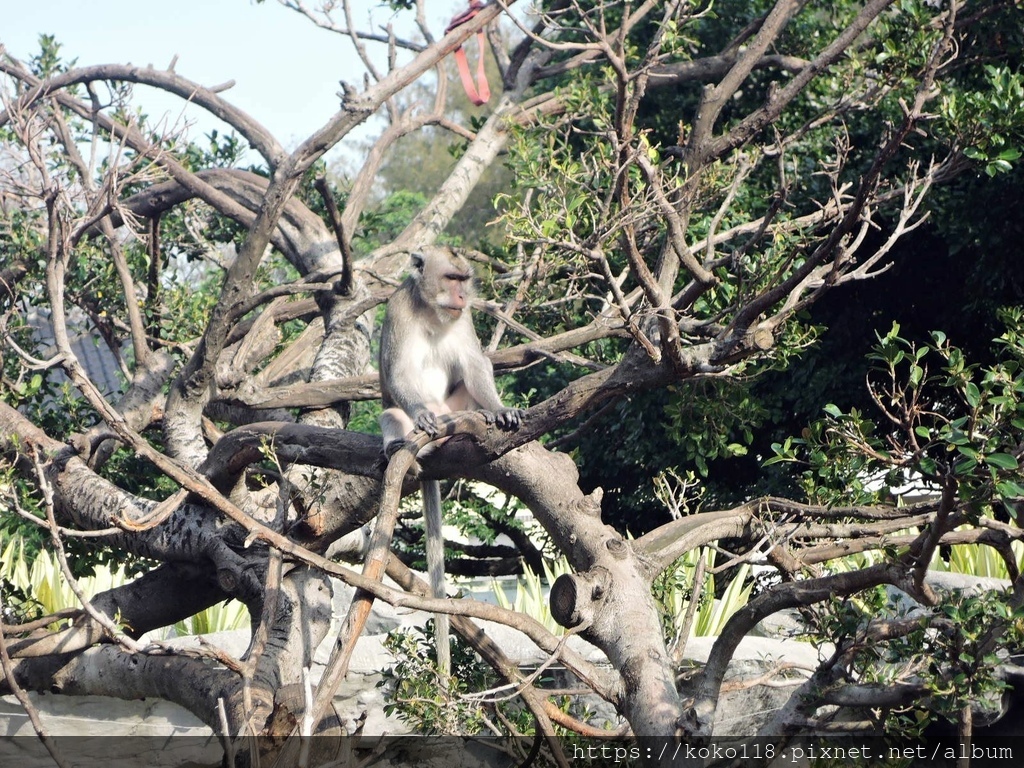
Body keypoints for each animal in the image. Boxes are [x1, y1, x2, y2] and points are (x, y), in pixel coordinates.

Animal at [376, 247, 524, 679]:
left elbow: (475, 366)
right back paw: (404, 446)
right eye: (450, 278)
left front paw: (499, 408)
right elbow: (399, 373)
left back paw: (474, 419)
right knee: (392, 415)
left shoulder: (465, 319)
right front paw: (420, 416)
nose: (461, 296)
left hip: (457, 408)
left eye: (463, 279)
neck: (431, 311)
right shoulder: (398, 312)